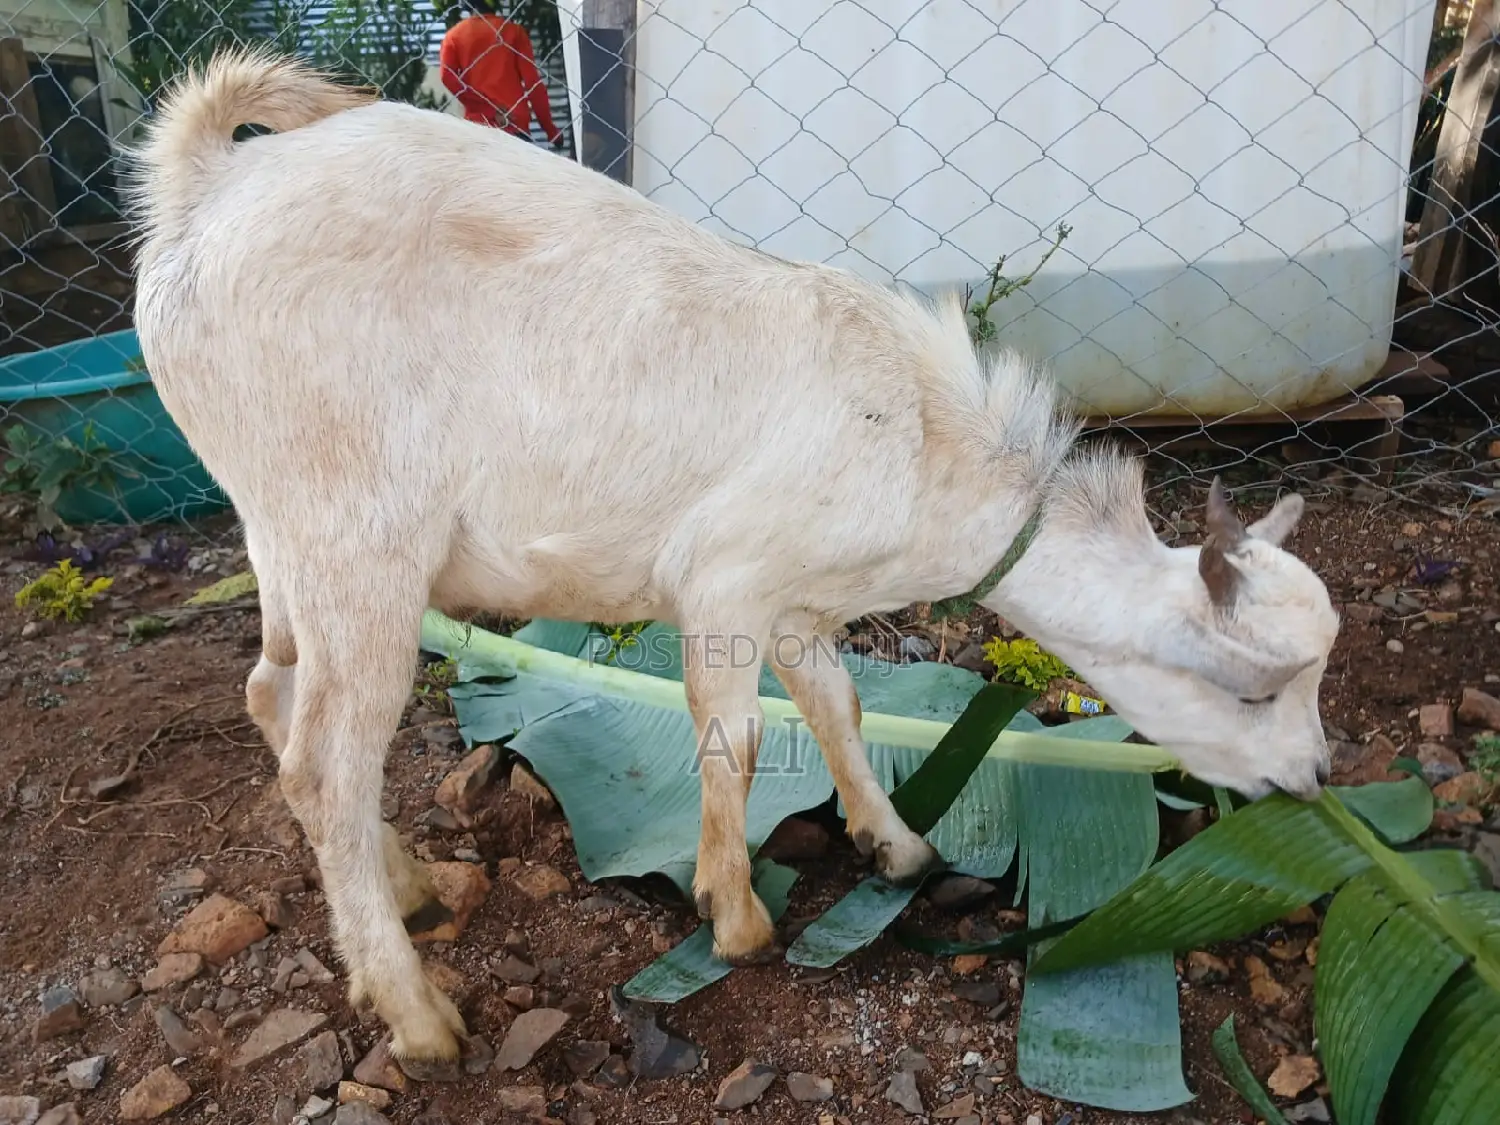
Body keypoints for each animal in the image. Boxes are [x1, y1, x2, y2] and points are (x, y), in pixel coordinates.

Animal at [125, 46, 1340, 1064]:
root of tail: (203, 194)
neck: (925, 445)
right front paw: (738, 914)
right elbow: (737, 739)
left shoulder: (798, 600)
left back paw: (410, 883)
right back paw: (417, 1013)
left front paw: (897, 847)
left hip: (279, 530)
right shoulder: (726, 580)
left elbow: (840, 706)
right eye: (1256, 687)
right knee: (326, 761)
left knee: (272, 694)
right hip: (356, 536)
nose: (1315, 779)